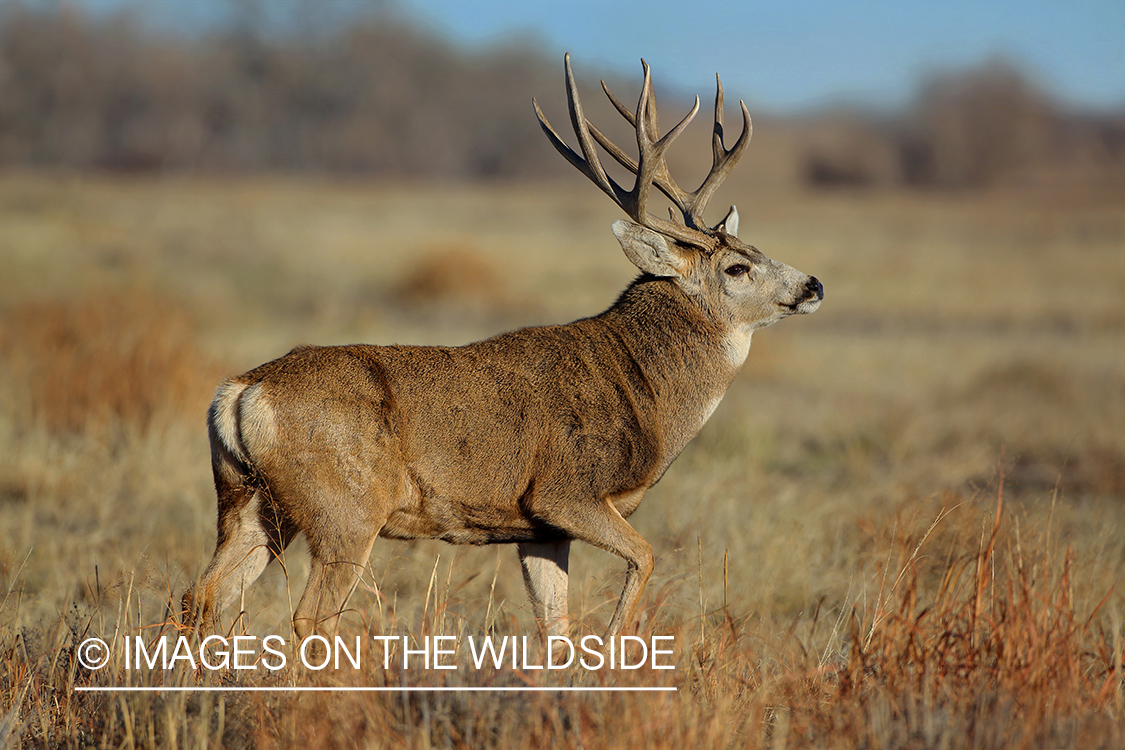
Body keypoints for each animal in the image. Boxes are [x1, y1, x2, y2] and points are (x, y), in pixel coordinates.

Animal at [180, 54, 823, 638]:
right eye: (738, 267)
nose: (813, 285)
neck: (645, 391)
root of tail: (242, 392)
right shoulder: (565, 492)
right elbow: (645, 558)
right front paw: (615, 649)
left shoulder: (540, 531)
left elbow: (555, 628)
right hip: (345, 508)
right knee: (308, 617)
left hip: (249, 502)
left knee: (199, 597)